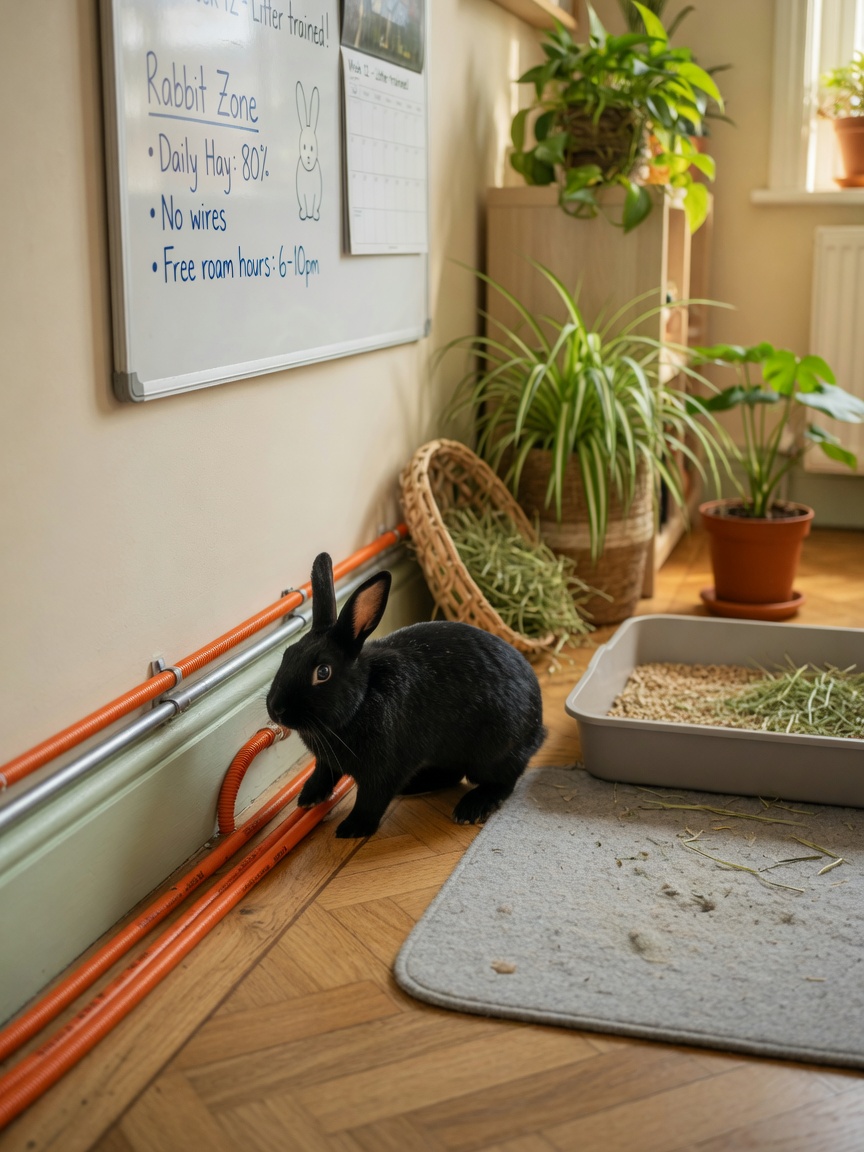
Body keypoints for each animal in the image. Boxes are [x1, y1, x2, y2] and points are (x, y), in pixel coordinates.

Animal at [266, 552, 546, 839]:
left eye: (323, 672)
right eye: (288, 654)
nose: (276, 710)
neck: (363, 698)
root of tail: (537, 729)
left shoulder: (384, 770)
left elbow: (371, 800)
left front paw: (352, 829)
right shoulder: (325, 761)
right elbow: (323, 774)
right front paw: (308, 798)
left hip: (494, 751)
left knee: (503, 780)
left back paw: (471, 808)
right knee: (453, 774)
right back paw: (416, 786)